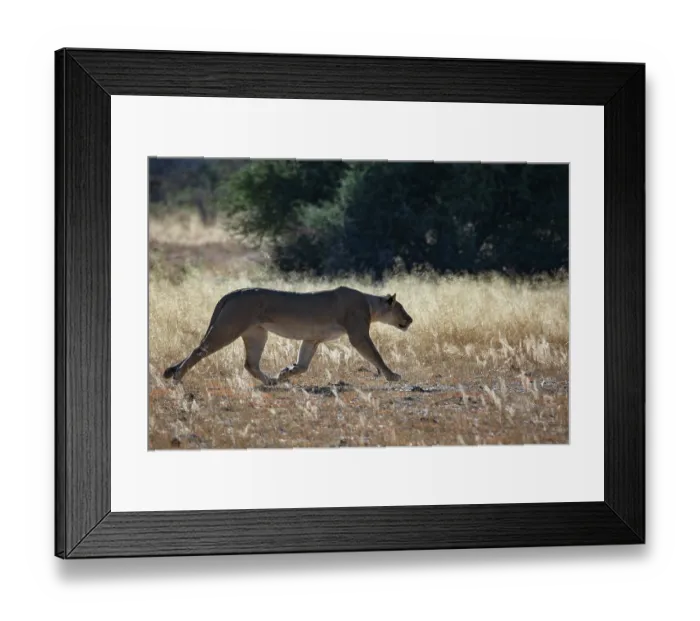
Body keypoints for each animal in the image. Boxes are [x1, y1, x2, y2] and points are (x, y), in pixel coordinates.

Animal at [163, 286, 413, 385]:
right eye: (401, 308)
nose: (410, 320)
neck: (371, 304)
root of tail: (233, 292)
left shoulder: (312, 339)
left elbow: (303, 364)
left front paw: (286, 372)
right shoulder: (358, 335)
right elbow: (376, 355)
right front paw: (392, 375)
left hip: (257, 334)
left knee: (250, 363)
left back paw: (272, 381)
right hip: (228, 327)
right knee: (199, 350)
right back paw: (178, 378)